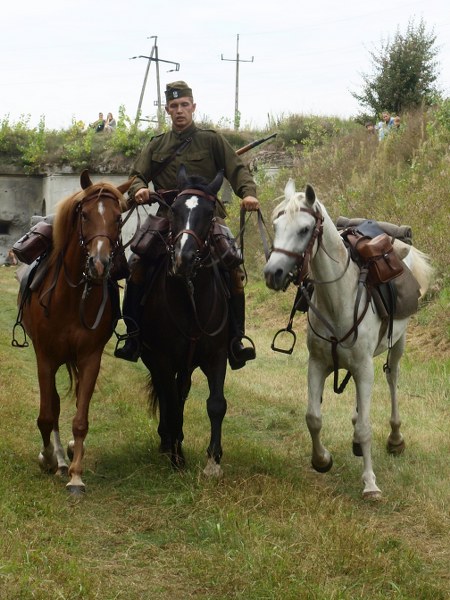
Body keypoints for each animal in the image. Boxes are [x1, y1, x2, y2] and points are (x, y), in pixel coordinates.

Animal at [15, 170, 133, 494]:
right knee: (53, 406)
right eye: (85, 214)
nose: (99, 264)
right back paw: (57, 458)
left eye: (118, 217)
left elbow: (81, 418)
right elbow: (47, 414)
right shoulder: (45, 358)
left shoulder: (90, 358)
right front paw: (48, 458)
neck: (70, 297)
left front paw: (76, 475)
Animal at [138, 166, 230, 477]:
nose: (183, 258)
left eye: (209, 212)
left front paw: (213, 460)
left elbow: (216, 404)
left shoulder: (216, 355)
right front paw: (177, 457)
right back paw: (168, 441)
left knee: (181, 391)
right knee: (168, 396)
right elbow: (172, 404)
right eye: (175, 209)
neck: (191, 298)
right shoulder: (163, 357)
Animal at [263, 179, 433, 499]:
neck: (337, 299)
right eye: (276, 225)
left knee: (392, 379)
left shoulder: (365, 368)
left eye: (305, 229)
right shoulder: (317, 364)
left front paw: (370, 483)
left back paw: (395, 438)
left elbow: (366, 426)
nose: (272, 273)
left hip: (397, 345)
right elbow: (313, 418)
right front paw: (321, 460)